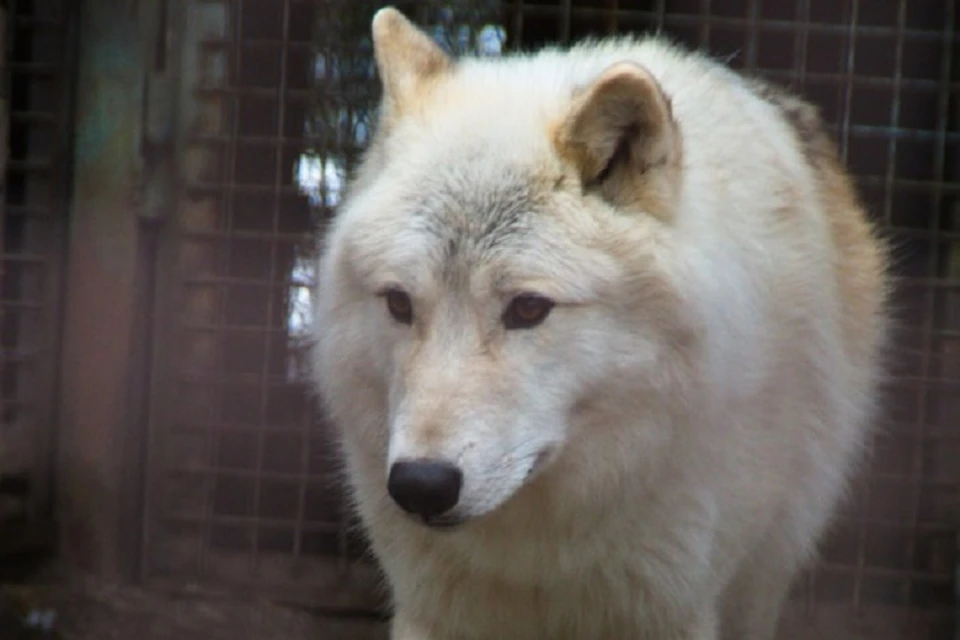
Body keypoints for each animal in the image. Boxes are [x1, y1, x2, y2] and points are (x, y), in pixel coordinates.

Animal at [312, 6, 888, 640]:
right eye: (399, 303)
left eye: (528, 309)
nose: (421, 485)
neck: (541, 559)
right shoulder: (434, 609)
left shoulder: (673, 606)